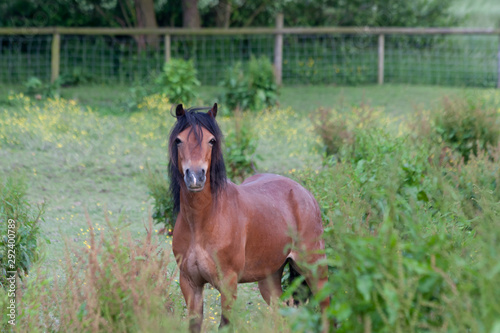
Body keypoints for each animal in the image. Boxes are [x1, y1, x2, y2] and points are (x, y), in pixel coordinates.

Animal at [170, 102, 330, 330]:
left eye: (211, 140)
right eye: (178, 140)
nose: (195, 176)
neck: (201, 222)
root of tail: (304, 193)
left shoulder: (228, 283)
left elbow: (225, 325)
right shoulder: (190, 283)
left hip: (314, 267)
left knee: (326, 307)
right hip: (269, 277)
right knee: (284, 311)